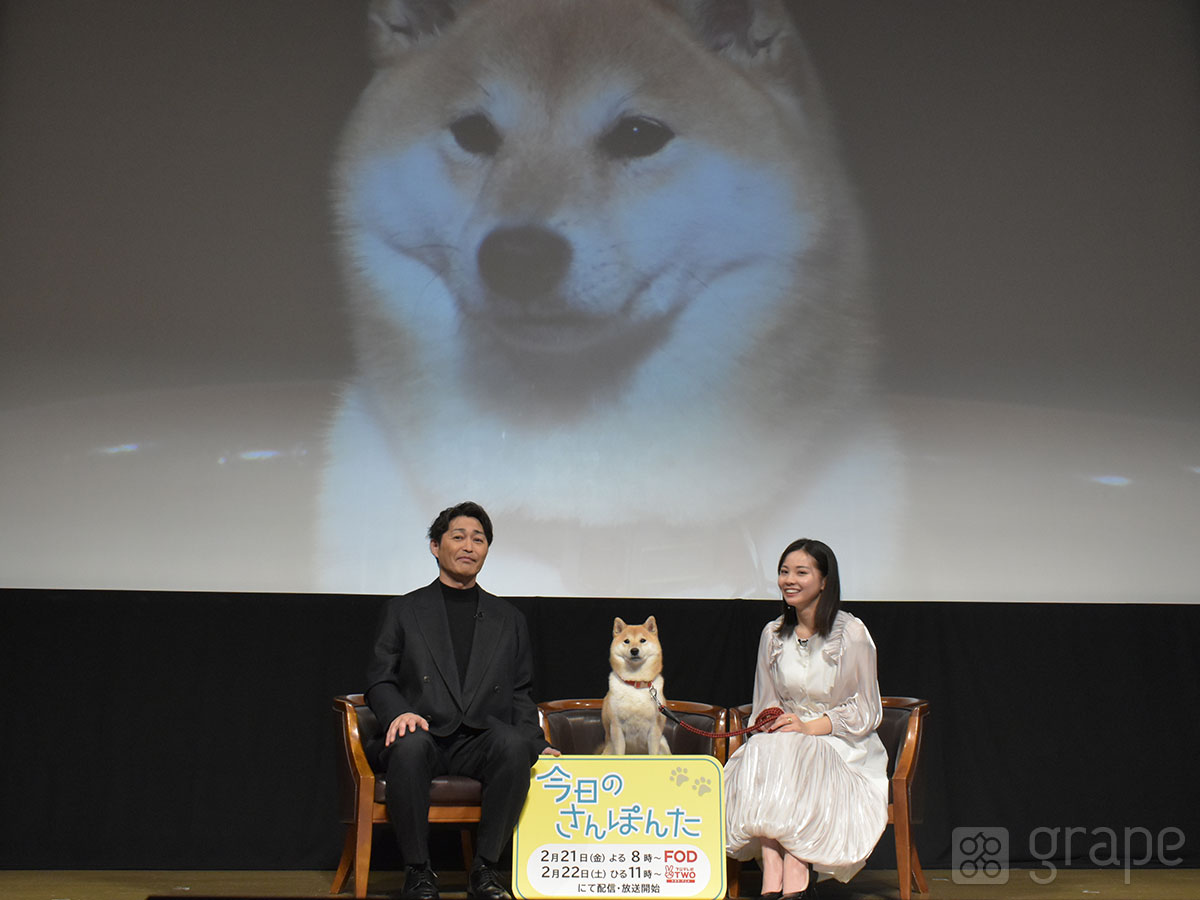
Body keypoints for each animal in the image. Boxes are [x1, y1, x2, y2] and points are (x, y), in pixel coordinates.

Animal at [604, 619, 672, 758]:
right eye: (626, 641)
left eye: (642, 640)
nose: (634, 650)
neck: (635, 684)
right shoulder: (616, 728)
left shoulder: (654, 730)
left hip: (664, 745)